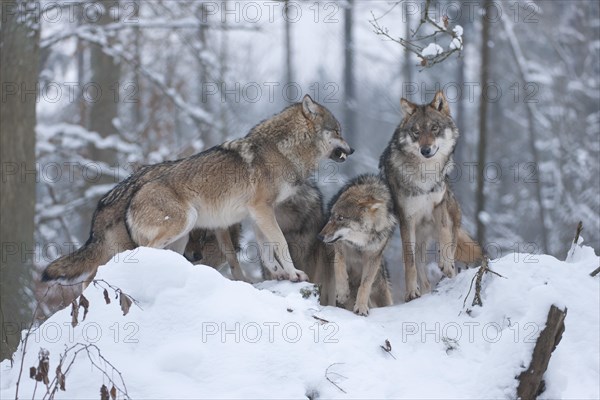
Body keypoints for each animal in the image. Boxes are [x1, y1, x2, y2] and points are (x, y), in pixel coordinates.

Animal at [43, 94, 352, 284]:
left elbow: (267, 249)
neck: (282, 150)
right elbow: (281, 244)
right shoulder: (262, 210)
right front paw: (294, 273)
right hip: (184, 222)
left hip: (181, 237)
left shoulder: (258, 215)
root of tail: (127, 196)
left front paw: (278, 275)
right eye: (337, 130)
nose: (352, 150)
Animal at [316, 175, 396, 316]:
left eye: (341, 218)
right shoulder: (340, 246)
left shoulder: (373, 258)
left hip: (382, 291)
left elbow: (365, 284)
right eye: (332, 216)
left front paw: (361, 307)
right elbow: (339, 265)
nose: (320, 237)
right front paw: (342, 292)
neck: (359, 244)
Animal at [382, 90, 486, 302]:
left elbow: (445, 237)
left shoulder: (440, 207)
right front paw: (411, 292)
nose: (425, 150)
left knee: (451, 249)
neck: (425, 174)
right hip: (419, 242)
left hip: (451, 220)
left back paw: (450, 274)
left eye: (434, 128)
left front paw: (445, 264)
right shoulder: (407, 219)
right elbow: (409, 262)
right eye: (416, 132)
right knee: (424, 277)